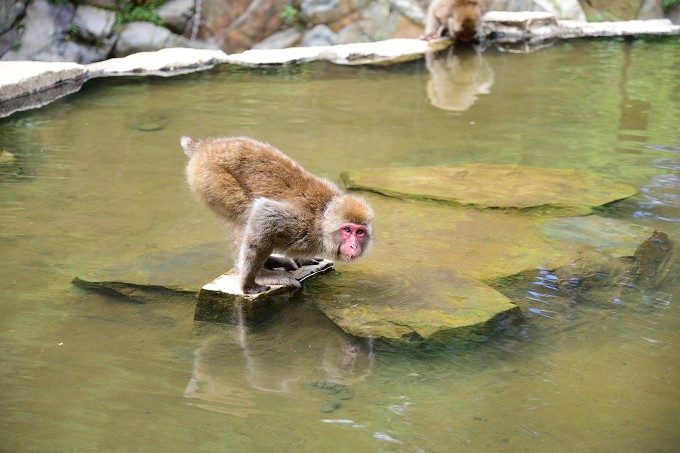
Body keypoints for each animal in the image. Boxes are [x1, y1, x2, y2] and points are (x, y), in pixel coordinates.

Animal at [181, 135, 374, 294]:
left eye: (360, 232)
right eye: (347, 230)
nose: (353, 246)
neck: (321, 222)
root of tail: (203, 147)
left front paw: (301, 259)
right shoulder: (297, 221)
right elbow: (263, 214)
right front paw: (248, 284)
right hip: (211, 179)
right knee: (245, 216)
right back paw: (260, 272)